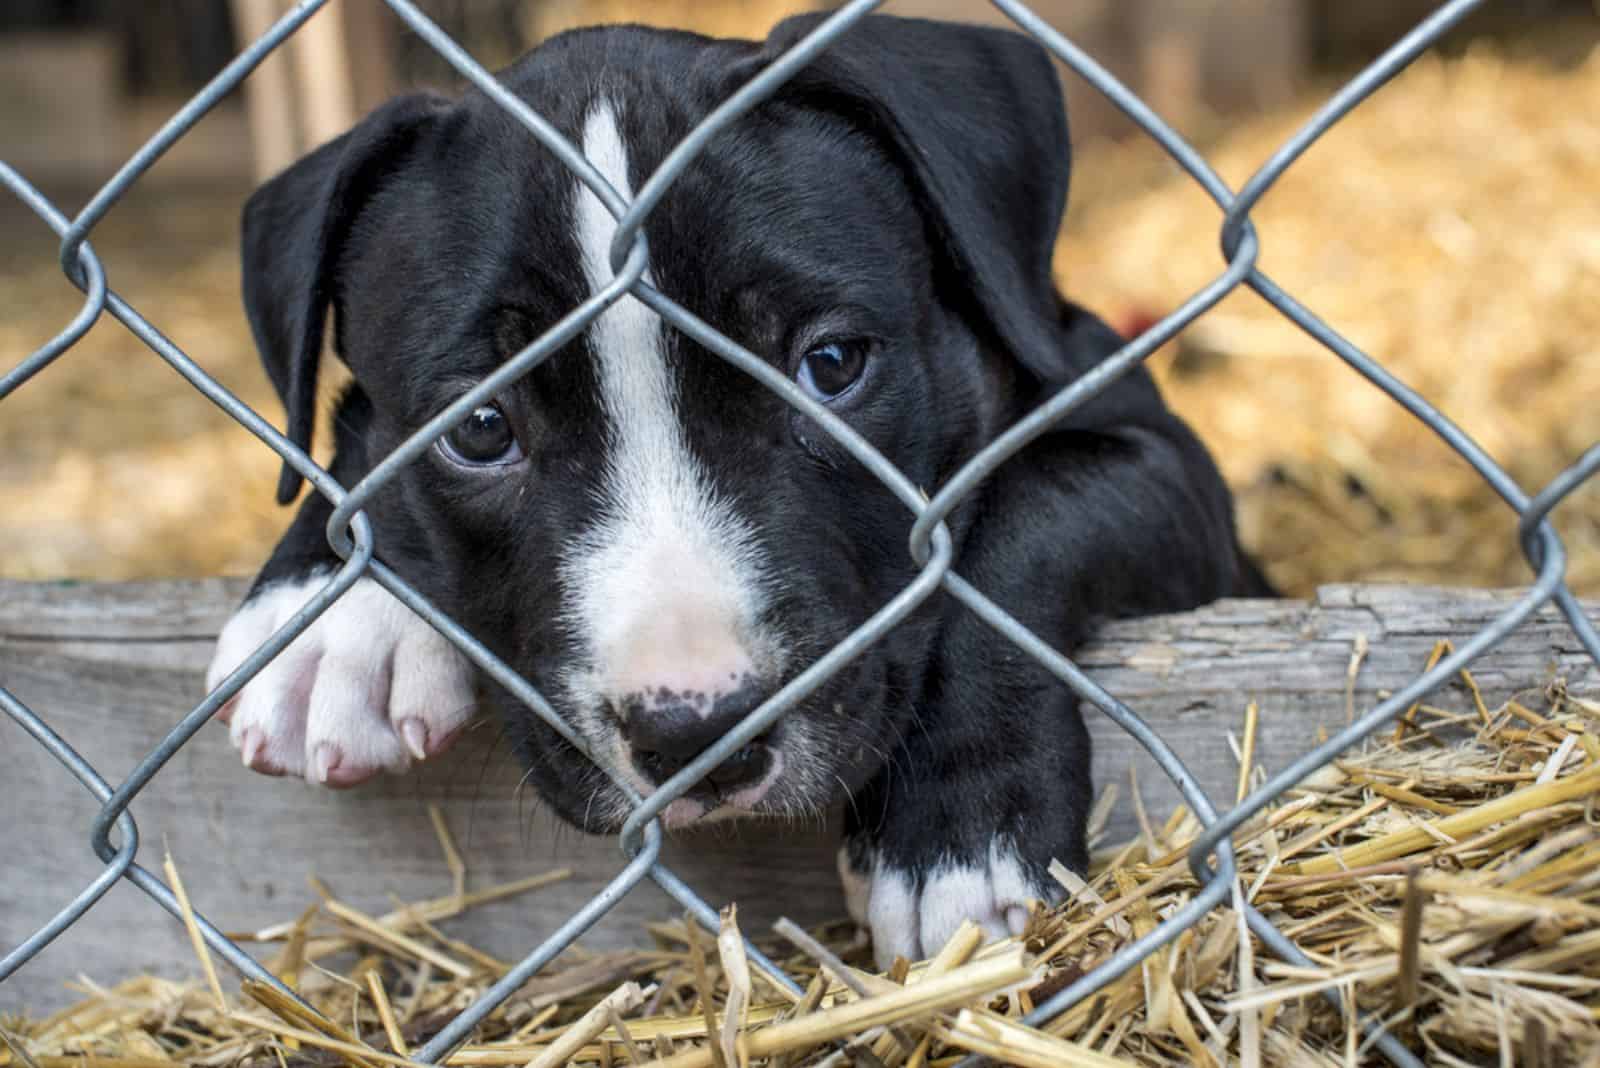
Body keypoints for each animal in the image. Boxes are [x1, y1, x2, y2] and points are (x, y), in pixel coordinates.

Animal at [203, 14, 1273, 965]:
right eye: (480, 430)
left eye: (831, 365)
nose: (697, 732)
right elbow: (353, 430)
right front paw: (332, 615)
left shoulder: (1170, 469)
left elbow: (1024, 515)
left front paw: (957, 834)